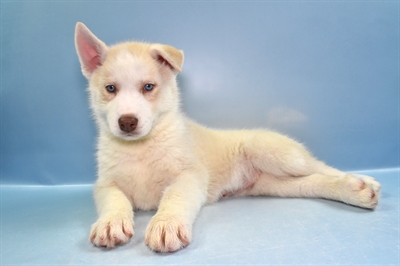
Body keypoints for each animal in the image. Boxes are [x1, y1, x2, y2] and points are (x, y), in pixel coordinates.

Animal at [74, 21, 382, 252]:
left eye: (148, 87)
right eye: (110, 89)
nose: (127, 122)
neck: (140, 147)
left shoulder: (190, 175)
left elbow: (174, 195)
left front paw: (166, 223)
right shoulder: (105, 183)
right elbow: (114, 200)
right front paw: (111, 223)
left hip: (277, 154)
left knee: (320, 166)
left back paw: (362, 181)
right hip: (275, 185)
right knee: (311, 182)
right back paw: (353, 190)